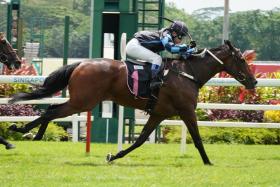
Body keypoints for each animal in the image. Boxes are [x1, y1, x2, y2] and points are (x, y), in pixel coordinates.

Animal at [9, 40, 258, 164]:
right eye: (242, 59)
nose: (254, 81)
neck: (188, 73)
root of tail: (80, 64)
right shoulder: (187, 110)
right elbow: (197, 139)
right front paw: (208, 162)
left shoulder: (159, 113)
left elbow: (140, 140)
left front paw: (113, 156)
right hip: (83, 102)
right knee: (51, 111)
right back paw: (22, 129)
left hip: (82, 101)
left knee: (51, 108)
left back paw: (31, 133)